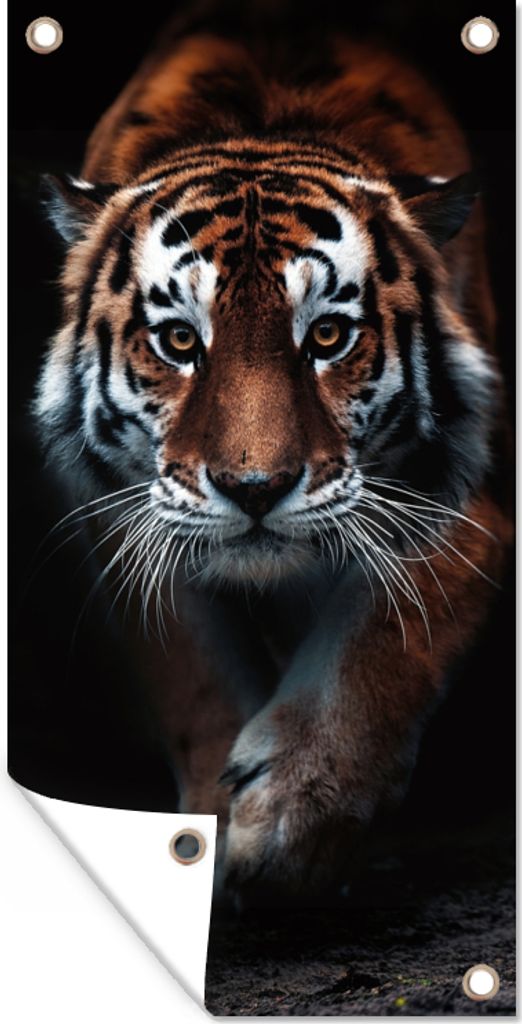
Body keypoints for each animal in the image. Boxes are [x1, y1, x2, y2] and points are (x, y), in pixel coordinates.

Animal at [35, 7, 511, 900]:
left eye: (326, 336)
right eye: (179, 341)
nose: (254, 488)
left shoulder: (472, 492)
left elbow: (388, 638)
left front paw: (293, 812)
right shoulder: (121, 513)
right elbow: (194, 671)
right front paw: (207, 840)